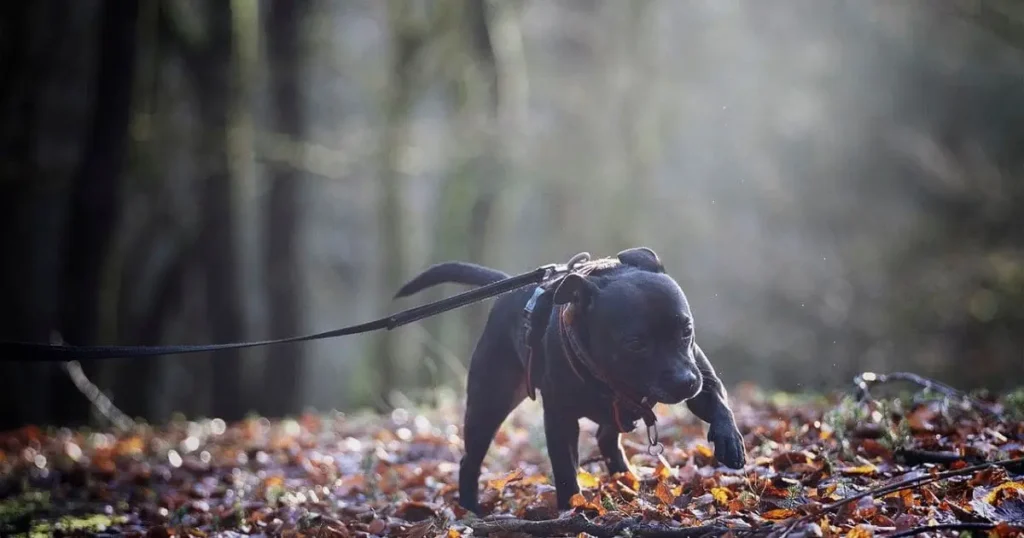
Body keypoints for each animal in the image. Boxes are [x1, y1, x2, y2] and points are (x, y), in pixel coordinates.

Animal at [393, 247, 745, 512]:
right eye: (635, 343)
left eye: (686, 330)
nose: (685, 382)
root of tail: (508, 290)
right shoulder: (559, 418)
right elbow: (564, 469)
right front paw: (573, 510)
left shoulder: (701, 375)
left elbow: (718, 403)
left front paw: (730, 441)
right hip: (489, 403)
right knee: (470, 459)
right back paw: (470, 509)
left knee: (607, 437)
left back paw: (626, 480)